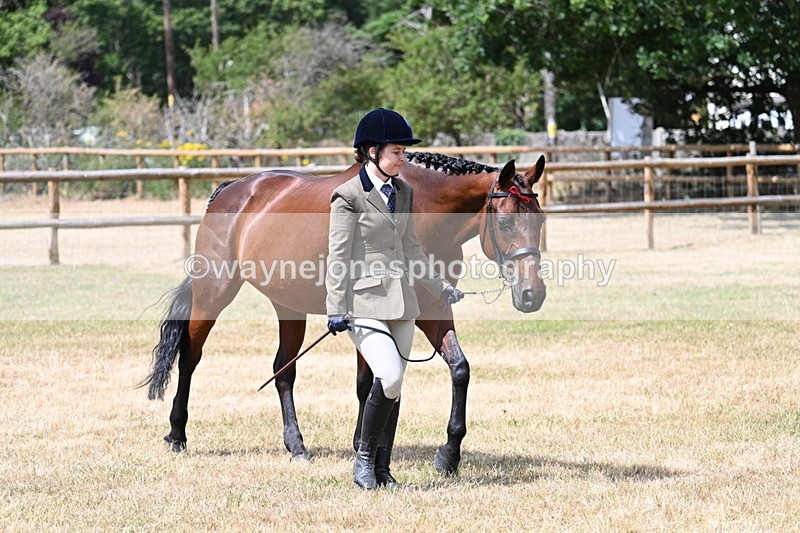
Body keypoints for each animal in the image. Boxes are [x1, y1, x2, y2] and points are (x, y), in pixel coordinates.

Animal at [143, 151, 547, 475]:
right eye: (505, 222)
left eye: (541, 222)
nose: (533, 295)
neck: (420, 213)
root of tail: (232, 189)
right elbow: (370, 381)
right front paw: (366, 448)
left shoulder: (432, 308)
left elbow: (455, 369)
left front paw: (447, 455)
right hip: (214, 291)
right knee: (190, 357)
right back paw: (176, 434)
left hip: (288, 306)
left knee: (283, 371)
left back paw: (296, 446)